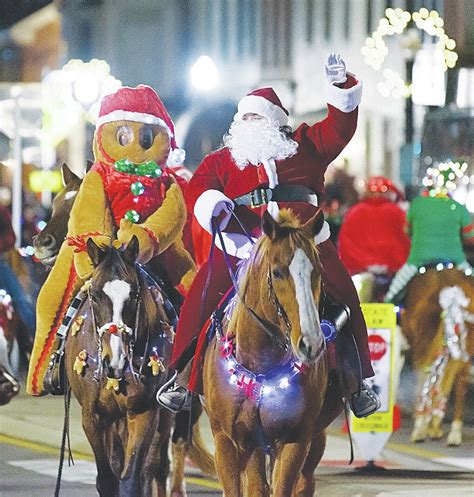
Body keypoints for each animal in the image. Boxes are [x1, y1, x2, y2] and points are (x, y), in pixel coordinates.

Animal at [202, 211, 338, 496]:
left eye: (318, 271)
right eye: (277, 272)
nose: (311, 343)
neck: (260, 367)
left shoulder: (295, 440)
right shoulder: (227, 441)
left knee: (304, 483)